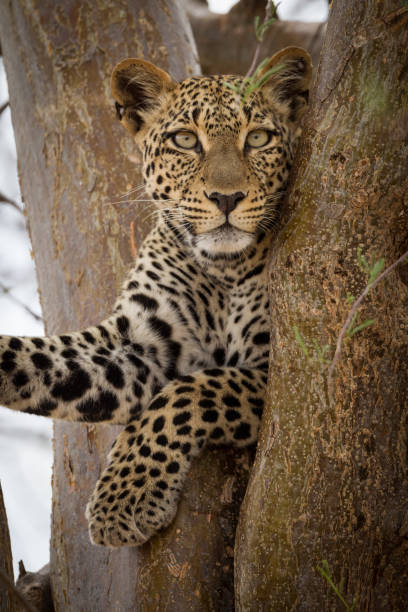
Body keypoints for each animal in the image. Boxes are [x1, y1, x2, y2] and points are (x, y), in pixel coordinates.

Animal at [0, 46, 312, 544]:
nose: (228, 198)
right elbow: (41, 361)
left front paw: (123, 498)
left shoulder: (272, 369)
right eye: (185, 140)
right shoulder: (138, 345)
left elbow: (190, 391)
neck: (222, 267)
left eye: (259, 138)